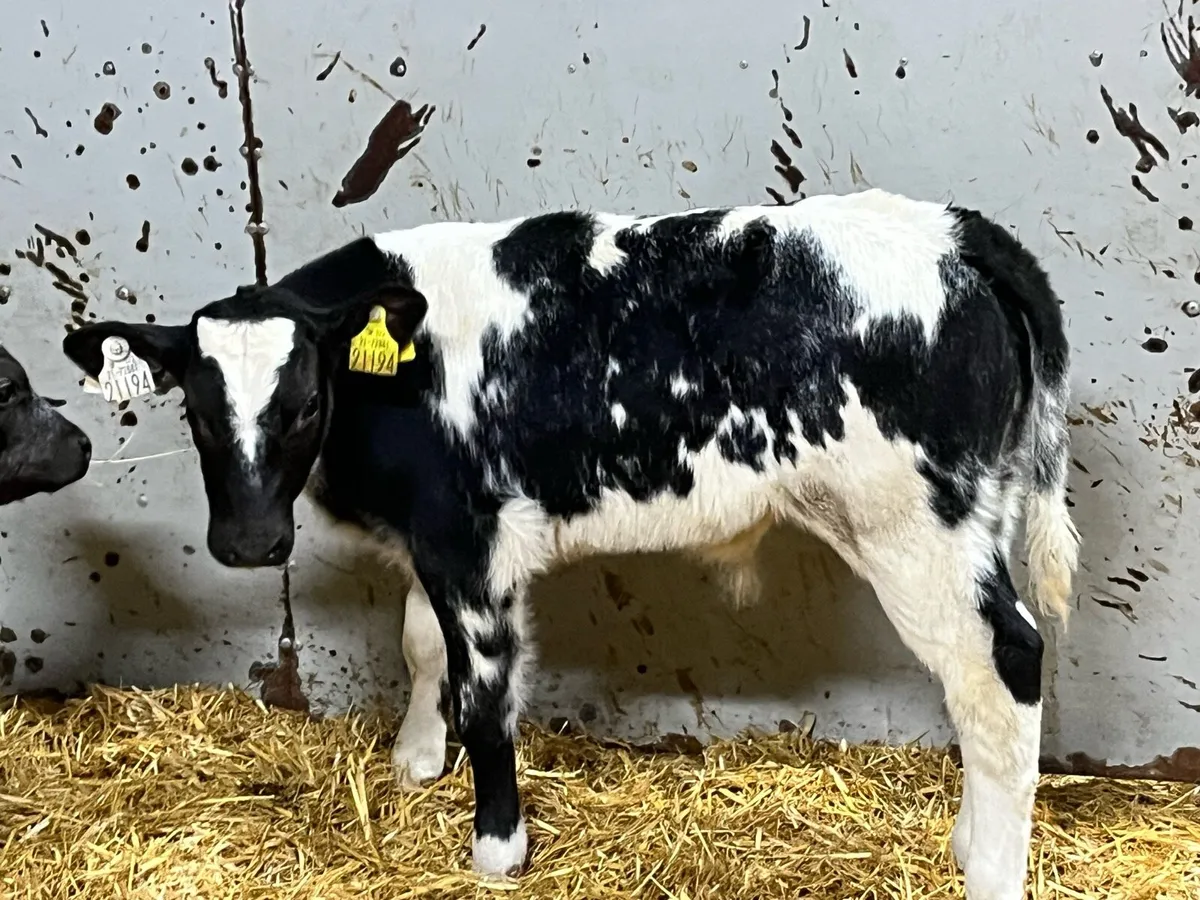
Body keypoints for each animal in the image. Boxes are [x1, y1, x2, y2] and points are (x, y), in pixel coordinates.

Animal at [62, 189, 1079, 900]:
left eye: (307, 401)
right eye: (195, 412)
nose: (247, 543)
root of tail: (955, 232)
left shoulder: (469, 543)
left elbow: (484, 694)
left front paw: (495, 848)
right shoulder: (434, 542)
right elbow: (420, 645)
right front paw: (414, 765)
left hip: (917, 529)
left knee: (1003, 667)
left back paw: (990, 871)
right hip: (969, 516)